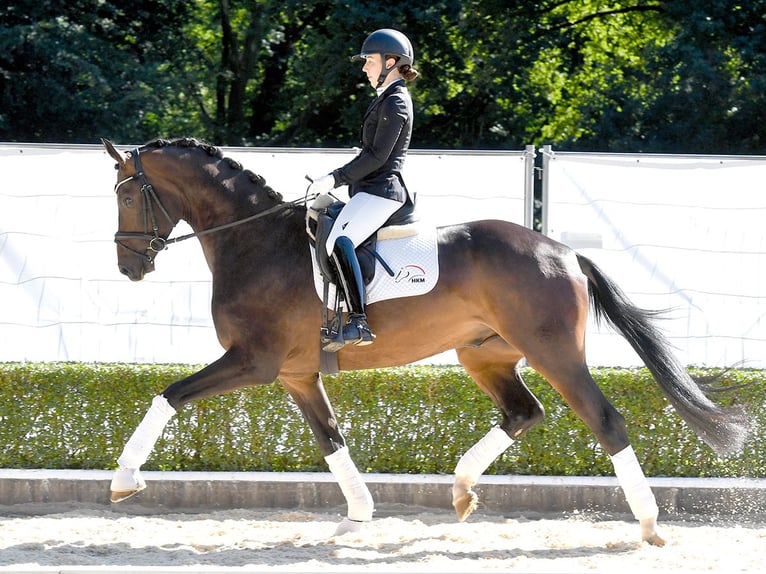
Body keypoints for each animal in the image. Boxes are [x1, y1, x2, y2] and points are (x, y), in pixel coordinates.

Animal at [100, 138, 752, 548]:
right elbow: (331, 440)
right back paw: (461, 490)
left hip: (554, 354)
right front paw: (357, 518)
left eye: (127, 195)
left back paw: (648, 525)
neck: (254, 241)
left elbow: (167, 394)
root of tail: (563, 252)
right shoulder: (296, 374)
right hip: (483, 353)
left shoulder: (252, 362)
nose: (129, 267)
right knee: (524, 412)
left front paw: (125, 478)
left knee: (605, 420)